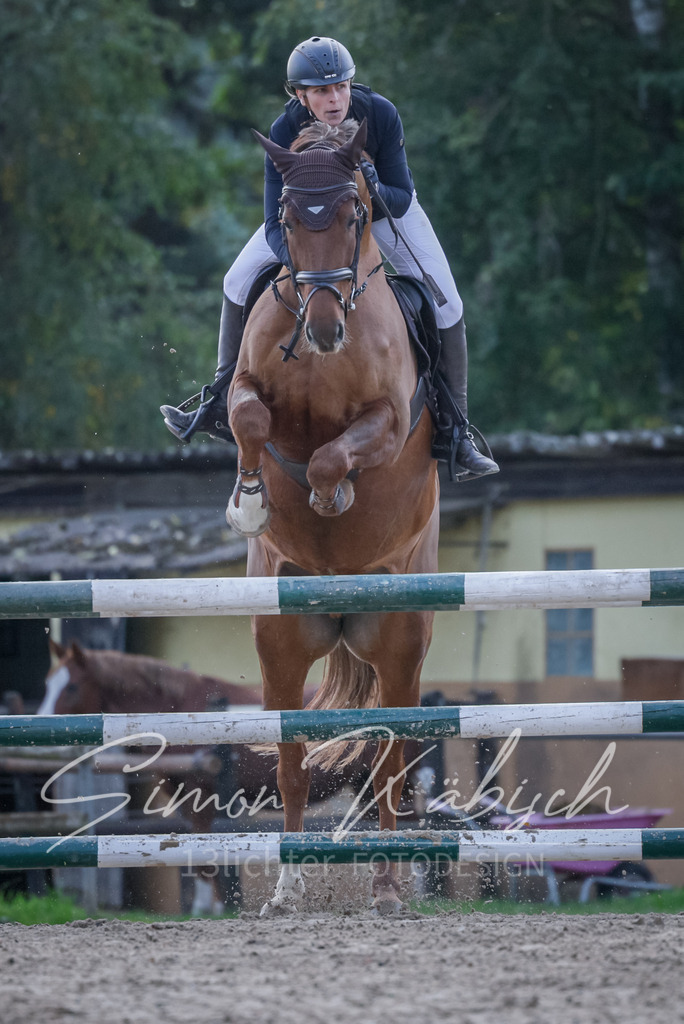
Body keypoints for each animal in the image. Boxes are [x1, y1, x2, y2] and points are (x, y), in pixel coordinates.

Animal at [39, 641, 424, 913]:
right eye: (47, 683)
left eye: (71, 687)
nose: (44, 727)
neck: (182, 712)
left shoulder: (200, 796)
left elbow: (206, 855)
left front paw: (208, 907)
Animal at [225, 118, 440, 914]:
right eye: (288, 219)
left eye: (353, 214)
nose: (320, 330)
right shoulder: (251, 391)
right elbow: (252, 417)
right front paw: (253, 501)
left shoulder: (390, 417)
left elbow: (333, 455)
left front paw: (332, 497)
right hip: (281, 646)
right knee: (292, 763)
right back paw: (286, 887)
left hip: (402, 643)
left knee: (390, 760)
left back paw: (386, 886)